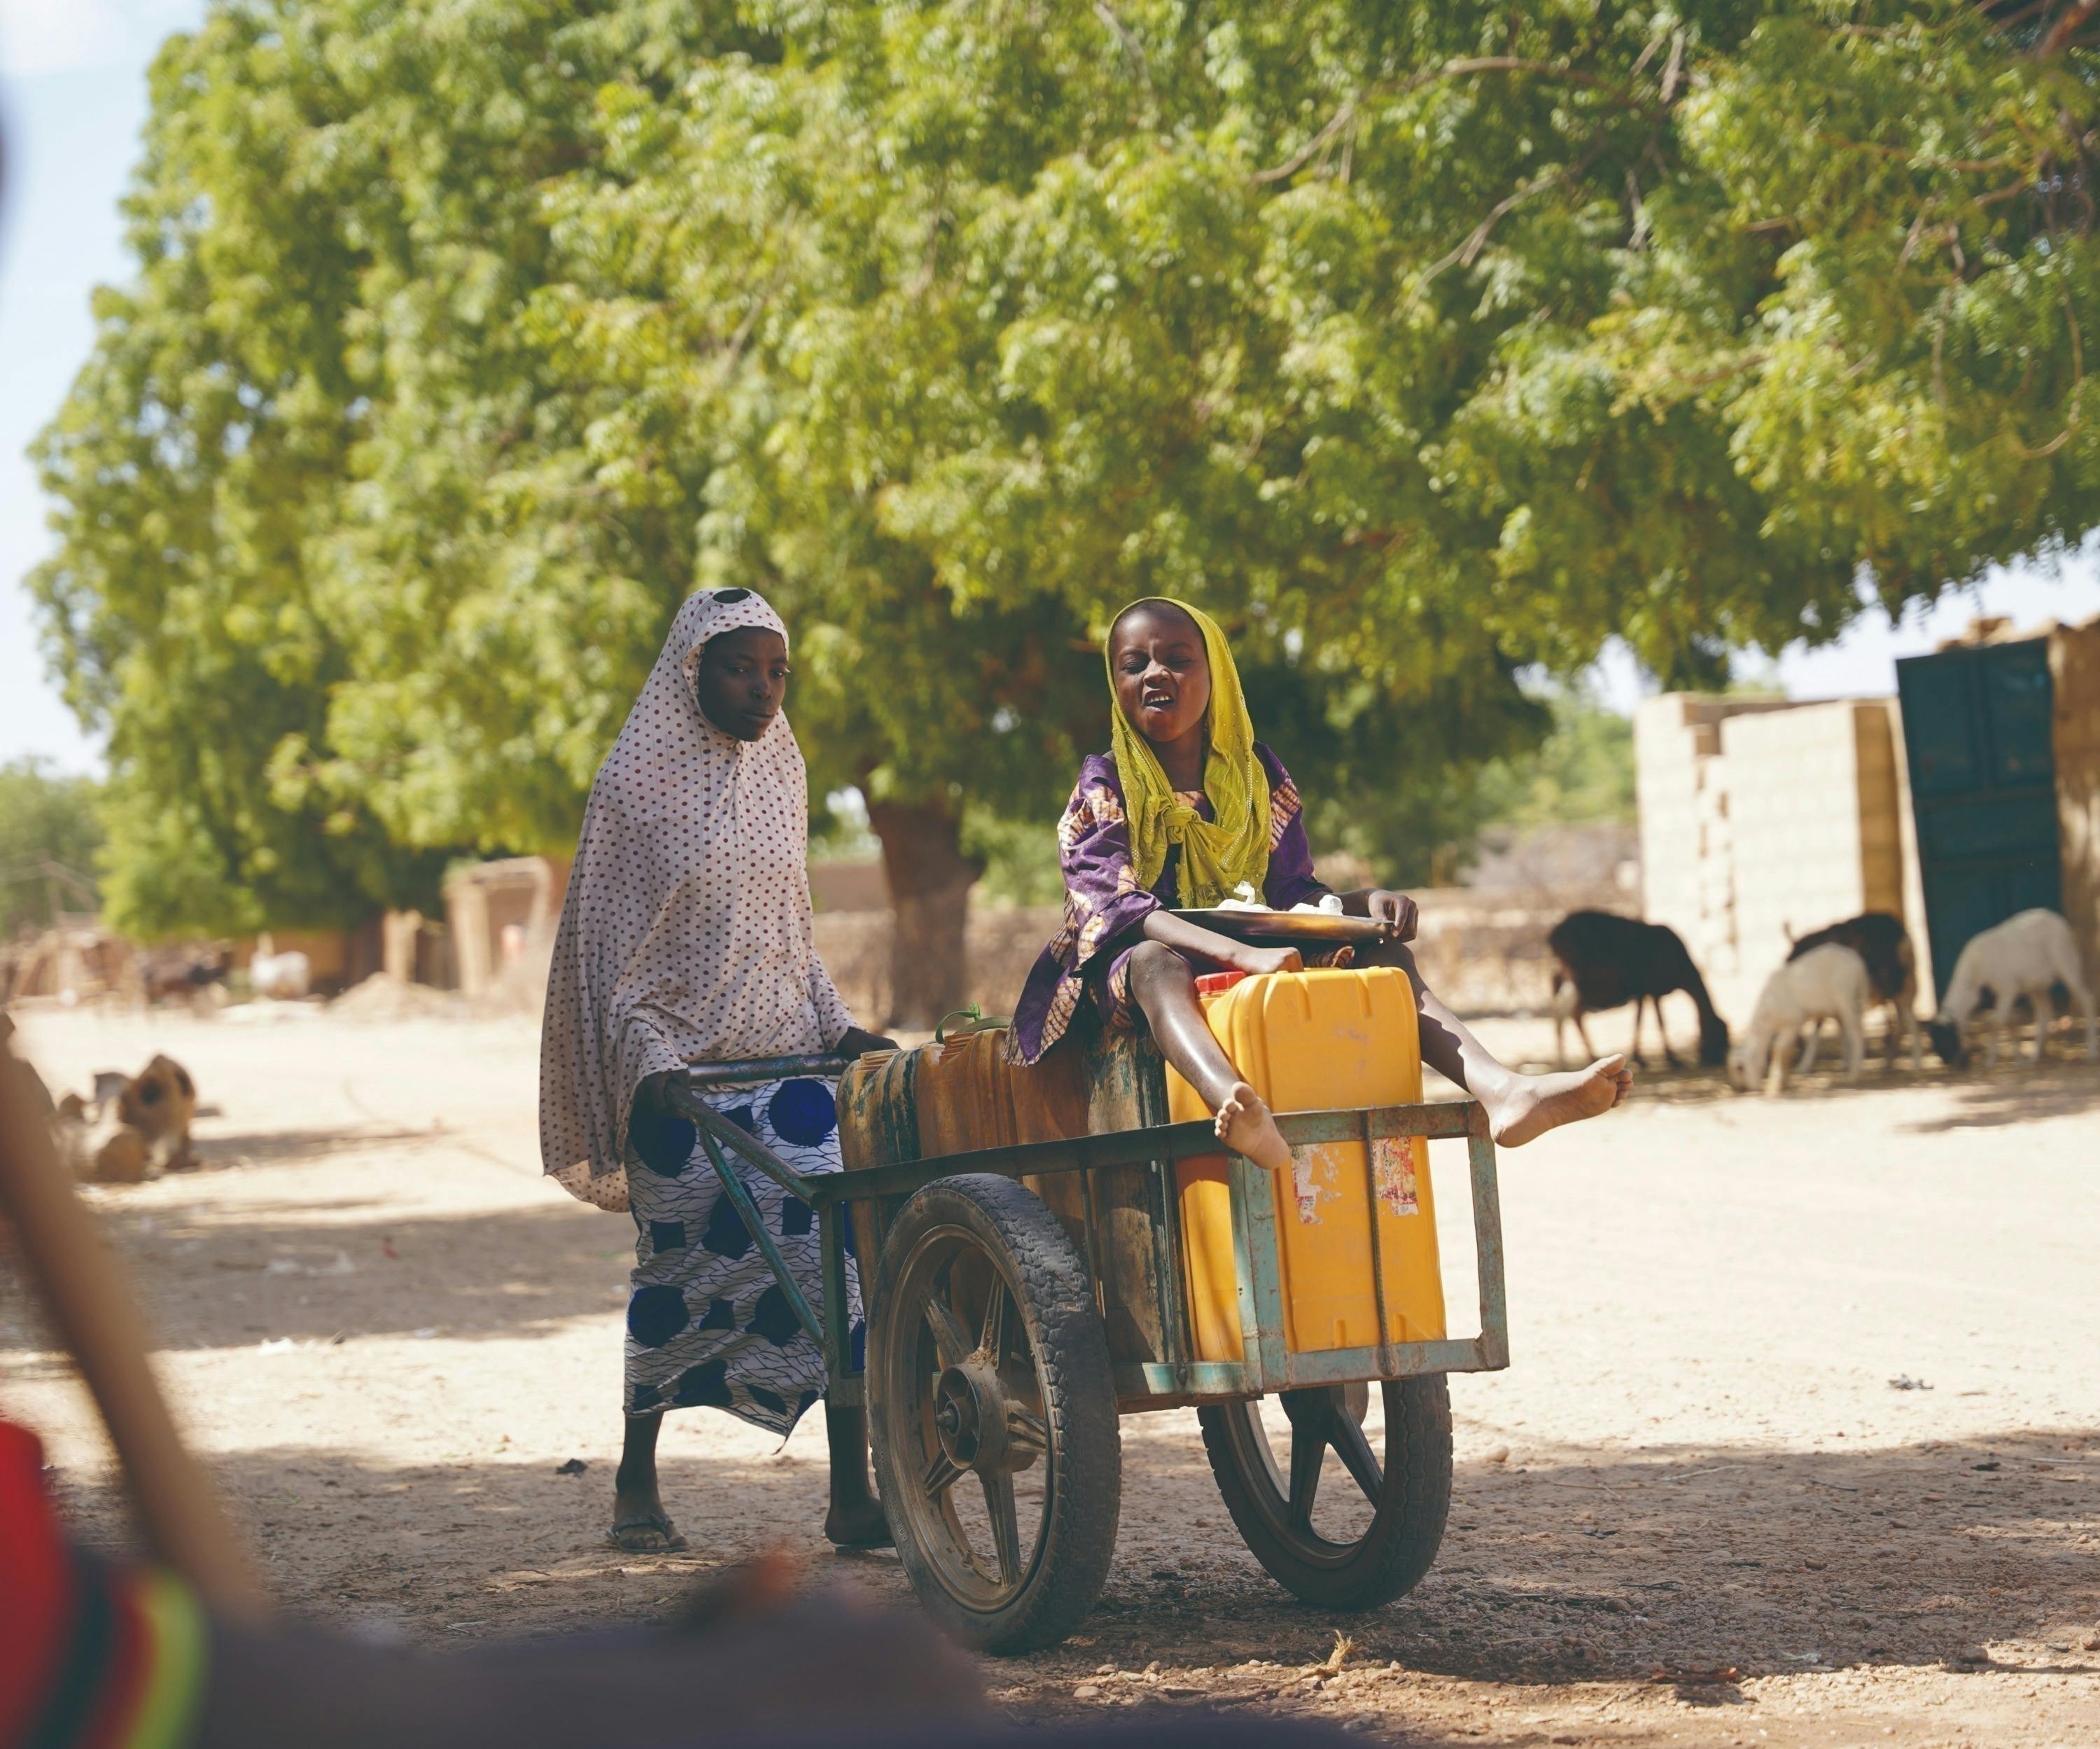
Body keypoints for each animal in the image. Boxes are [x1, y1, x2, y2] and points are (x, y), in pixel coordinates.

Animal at [1537, 915, 1730, 1066]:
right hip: (1576, 979)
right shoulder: (1653, 989)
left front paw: (1640, 1058)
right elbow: (1659, 1021)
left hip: (1563, 979)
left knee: (1573, 1014)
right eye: (1720, 1035)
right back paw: (1563, 1061)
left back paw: (1590, 1056)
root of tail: (1553, 937)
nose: (1717, 1060)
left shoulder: (1643, 992)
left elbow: (1639, 1019)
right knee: (1562, 1012)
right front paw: (1672, 1058)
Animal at [1722, 940, 1873, 1092]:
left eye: (1740, 1068)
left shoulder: (1793, 1021)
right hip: (1842, 1006)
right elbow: (1787, 1051)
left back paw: (1853, 1076)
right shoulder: (1789, 1026)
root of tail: (1859, 963)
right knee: (1850, 1032)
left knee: (1856, 1033)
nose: (1737, 1089)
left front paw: (1775, 1086)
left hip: (1846, 997)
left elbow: (1779, 1049)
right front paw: (1784, 1081)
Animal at [1789, 907, 1924, 1071]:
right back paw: (1889, 1060)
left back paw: (1915, 1062)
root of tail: (1902, 934)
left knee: (1910, 1020)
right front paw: (1845, 1062)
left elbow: (1820, 1030)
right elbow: (1841, 1029)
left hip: (1900, 986)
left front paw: (1804, 1066)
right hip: (1898, 989)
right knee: (1902, 1019)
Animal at [1924, 907, 2092, 1071]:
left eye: (1946, 1039)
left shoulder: (2008, 989)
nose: (1958, 1064)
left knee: (2086, 999)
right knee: (2044, 1015)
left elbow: (1997, 1023)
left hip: (2067, 963)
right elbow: (2009, 1023)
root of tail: (2062, 922)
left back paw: (2092, 1052)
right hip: (2036, 984)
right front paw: (2019, 1061)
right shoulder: (2002, 993)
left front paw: (1989, 1062)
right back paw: (2035, 1057)